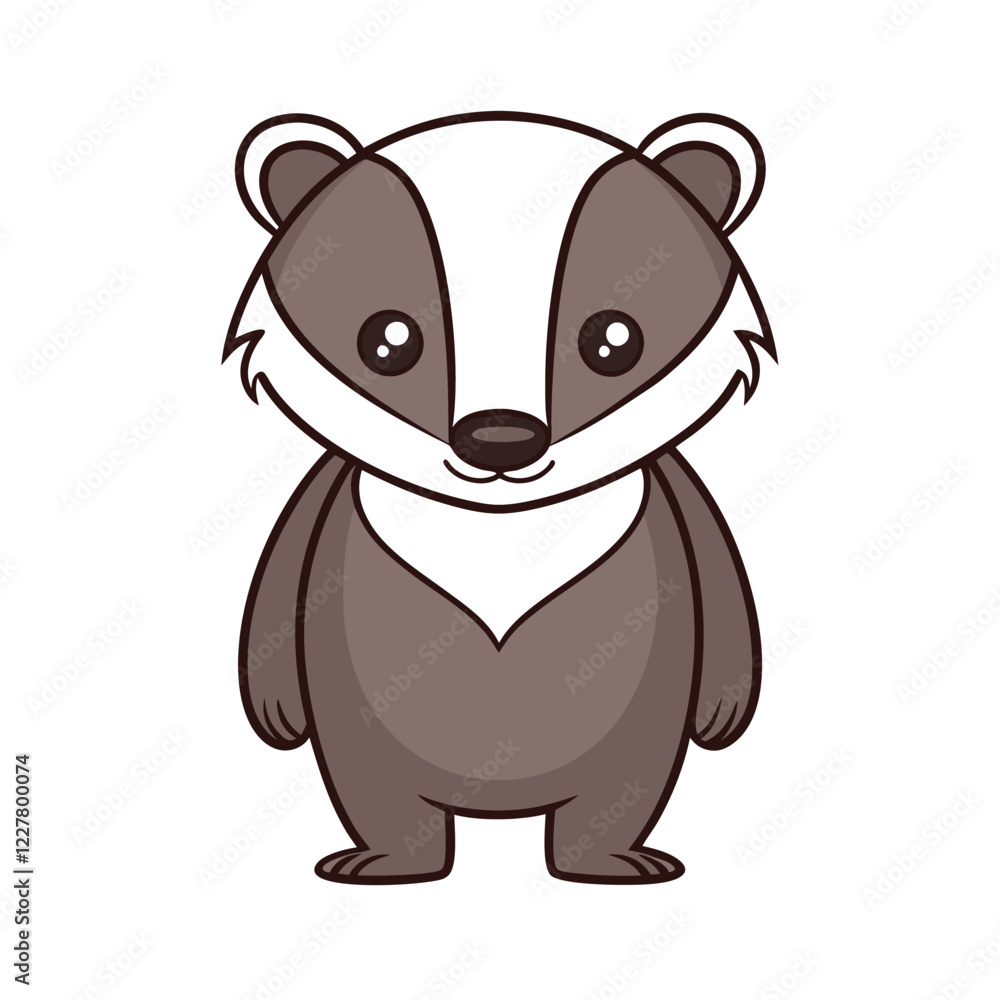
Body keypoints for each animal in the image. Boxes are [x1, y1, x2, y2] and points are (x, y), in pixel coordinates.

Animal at [225, 110, 775, 884]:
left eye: (613, 339)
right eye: (388, 339)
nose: (500, 438)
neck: (497, 529)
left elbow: (717, 581)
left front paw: (726, 710)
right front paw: (273, 710)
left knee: (618, 790)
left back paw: (607, 861)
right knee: (378, 791)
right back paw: (391, 861)